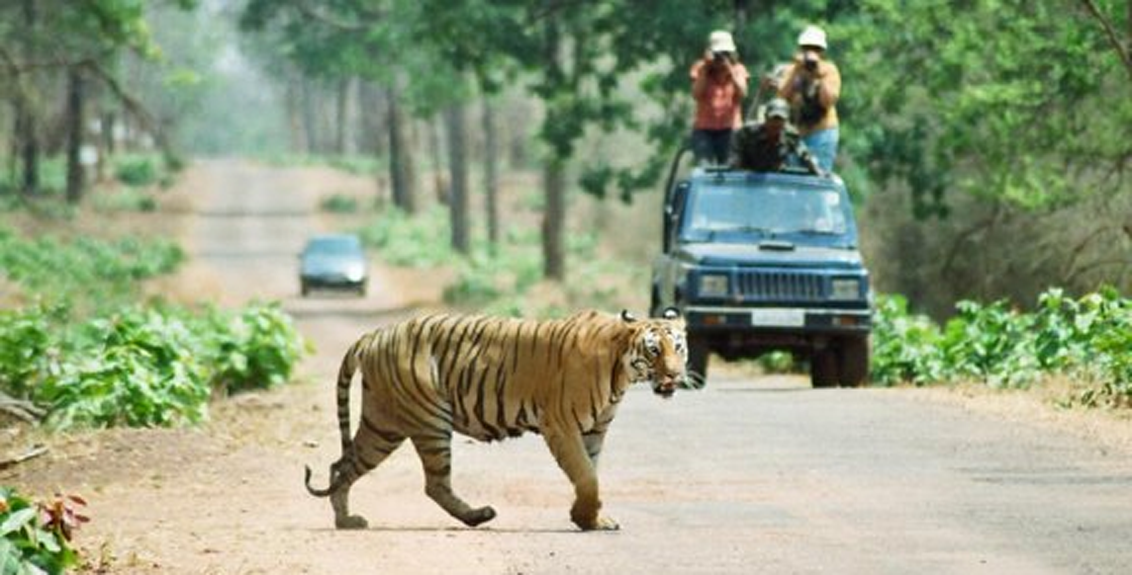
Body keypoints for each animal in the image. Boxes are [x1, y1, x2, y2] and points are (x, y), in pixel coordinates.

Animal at [304, 308, 689, 531]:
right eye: (655, 350)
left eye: (679, 347)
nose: (675, 374)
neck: (621, 371)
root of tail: (376, 334)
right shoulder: (561, 425)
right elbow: (586, 476)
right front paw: (586, 519)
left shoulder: (594, 431)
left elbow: (591, 474)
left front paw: (590, 519)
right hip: (428, 420)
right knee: (434, 484)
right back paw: (479, 516)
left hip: (383, 424)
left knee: (342, 465)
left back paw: (345, 520)